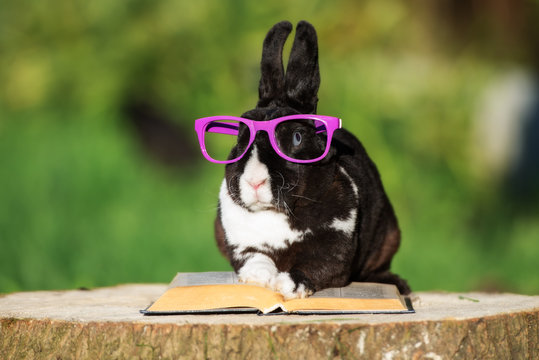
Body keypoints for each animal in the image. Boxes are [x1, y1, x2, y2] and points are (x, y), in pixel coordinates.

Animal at [213, 21, 412, 300]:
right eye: (240, 139)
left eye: (297, 137)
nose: (254, 181)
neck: (276, 213)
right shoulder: (242, 243)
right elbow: (255, 258)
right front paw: (258, 279)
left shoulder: (334, 250)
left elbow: (314, 267)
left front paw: (286, 287)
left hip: (388, 237)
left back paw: (400, 286)